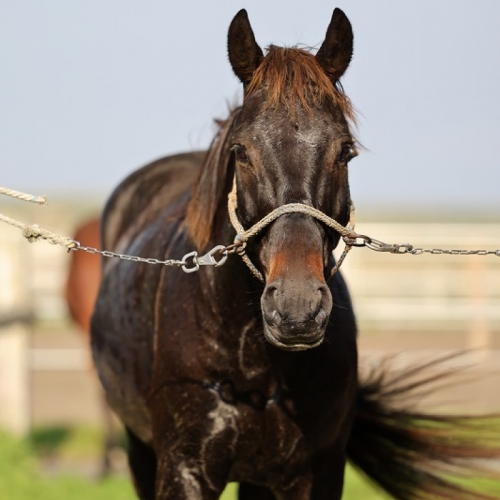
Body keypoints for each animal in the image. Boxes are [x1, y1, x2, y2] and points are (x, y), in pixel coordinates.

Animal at [91, 8, 500, 500]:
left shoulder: (314, 472)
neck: (255, 370)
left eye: (346, 151)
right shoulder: (183, 470)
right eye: (241, 151)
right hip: (140, 450)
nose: (297, 308)